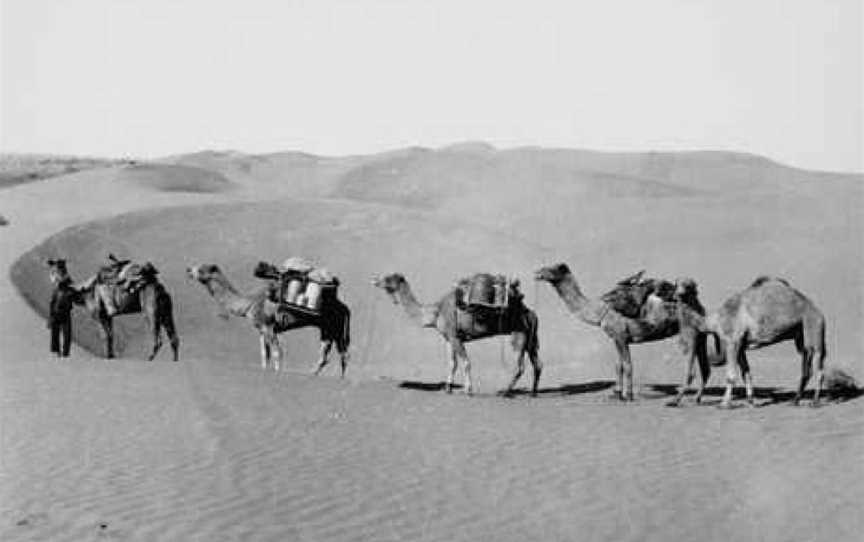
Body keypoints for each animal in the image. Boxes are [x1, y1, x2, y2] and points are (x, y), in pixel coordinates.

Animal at [46, 258, 179, 364]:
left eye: (56, 268)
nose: (59, 279)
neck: (83, 292)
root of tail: (160, 288)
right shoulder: (108, 316)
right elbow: (111, 336)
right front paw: (111, 357)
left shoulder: (98, 316)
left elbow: (104, 336)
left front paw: (107, 357)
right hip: (166, 311)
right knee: (174, 338)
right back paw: (174, 360)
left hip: (151, 310)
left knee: (158, 339)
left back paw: (149, 359)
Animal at [186, 264, 352, 376]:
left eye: (201, 270)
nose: (188, 270)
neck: (249, 303)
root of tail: (345, 308)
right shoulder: (261, 329)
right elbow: (264, 354)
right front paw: (265, 371)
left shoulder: (269, 326)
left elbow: (277, 352)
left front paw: (277, 373)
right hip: (329, 329)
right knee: (332, 354)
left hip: (333, 327)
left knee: (340, 354)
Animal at [372, 274, 540, 398]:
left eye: (388, 279)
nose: (374, 280)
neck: (436, 312)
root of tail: (531, 313)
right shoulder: (448, 338)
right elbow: (452, 363)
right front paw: (448, 388)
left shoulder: (455, 336)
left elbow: (466, 362)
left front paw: (468, 391)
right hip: (530, 339)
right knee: (537, 364)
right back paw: (533, 393)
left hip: (519, 334)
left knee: (520, 366)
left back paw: (505, 392)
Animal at [532, 264, 708, 404]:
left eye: (551, 269)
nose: (537, 273)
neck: (599, 311)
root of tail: (700, 305)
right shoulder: (615, 338)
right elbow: (619, 366)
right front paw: (617, 394)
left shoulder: (621, 336)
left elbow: (628, 365)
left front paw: (628, 395)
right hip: (700, 335)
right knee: (704, 368)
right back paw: (696, 398)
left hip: (689, 331)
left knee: (691, 369)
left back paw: (677, 400)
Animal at [672, 276, 828, 408]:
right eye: (676, 284)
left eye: (689, 285)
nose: (678, 294)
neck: (715, 321)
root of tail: (818, 311)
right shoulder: (741, 345)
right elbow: (746, 372)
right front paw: (750, 401)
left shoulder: (732, 341)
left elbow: (731, 375)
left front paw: (724, 404)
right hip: (801, 337)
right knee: (806, 368)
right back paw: (795, 401)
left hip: (813, 327)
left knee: (819, 367)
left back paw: (815, 402)